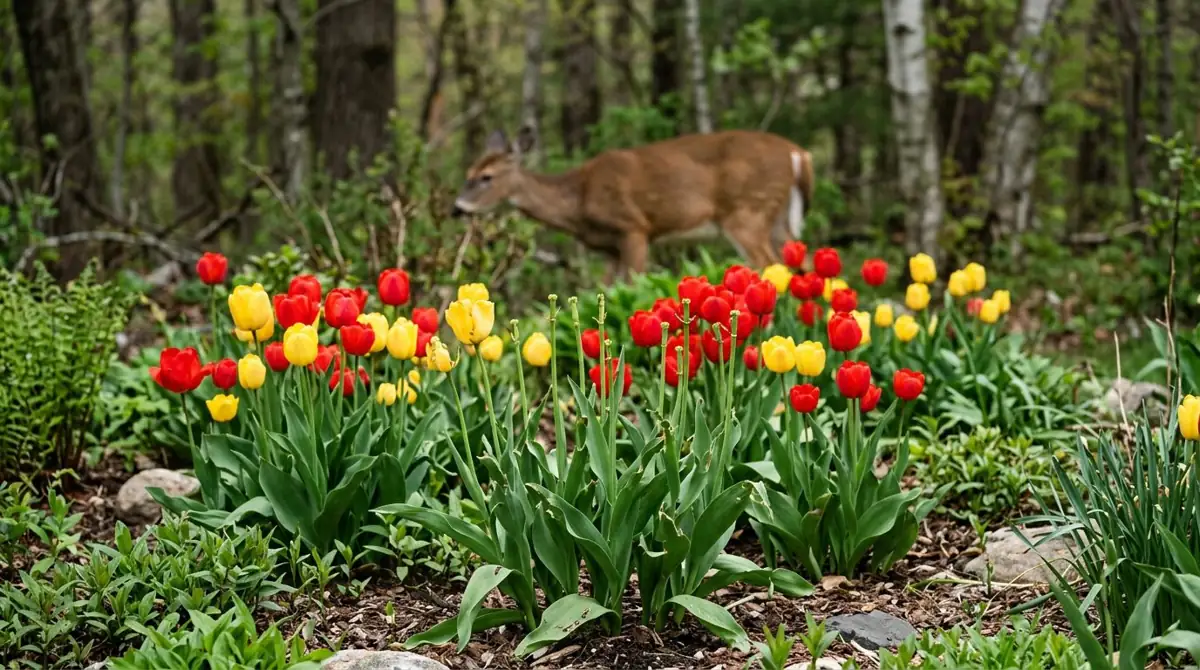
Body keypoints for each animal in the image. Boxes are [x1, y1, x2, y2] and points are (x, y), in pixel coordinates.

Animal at [451, 127, 815, 281]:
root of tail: (798, 153)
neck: (578, 199)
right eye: (467, 172)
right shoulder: (609, 249)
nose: (457, 208)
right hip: (778, 219)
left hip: (747, 212)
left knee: (770, 265)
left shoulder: (634, 228)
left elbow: (635, 283)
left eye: (486, 177)